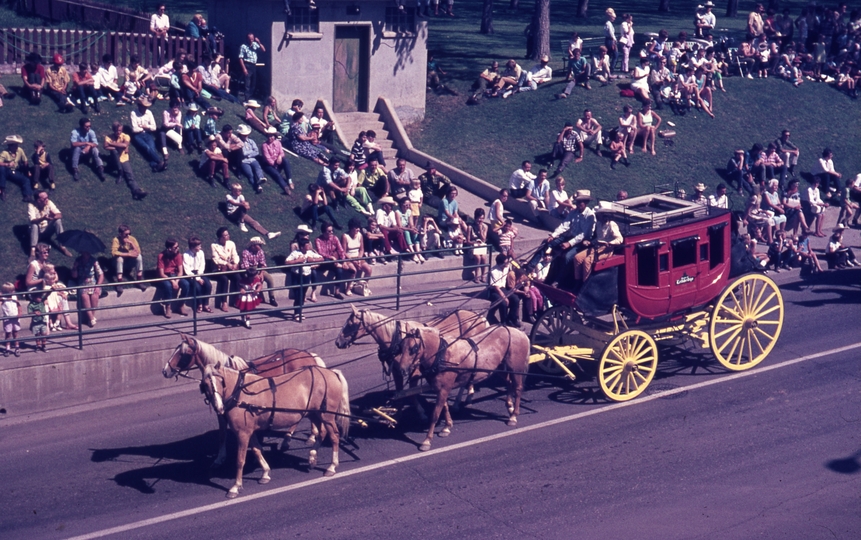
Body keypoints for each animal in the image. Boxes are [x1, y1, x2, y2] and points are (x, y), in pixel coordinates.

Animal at [162, 334, 326, 464]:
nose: (165, 370)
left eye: (184, 353)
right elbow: (222, 434)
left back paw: (297, 438)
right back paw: (306, 436)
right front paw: (220, 458)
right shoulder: (221, 411)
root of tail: (309, 355)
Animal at [202, 362, 350, 498]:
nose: (218, 407)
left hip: (327, 416)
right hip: (314, 414)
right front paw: (265, 473)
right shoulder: (250, 431)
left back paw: (332, 466)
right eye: (205, 384)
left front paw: (235, 486)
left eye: (221, 381)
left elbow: (240, 460)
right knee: (322, 432)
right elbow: (256, 450)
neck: (239, 395)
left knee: (334, 436)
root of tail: (332, 373)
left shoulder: (242, 433)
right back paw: (312, 457)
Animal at [332, 306, 488, 412]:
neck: (397, 340)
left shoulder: (414, 371)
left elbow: (411, 392)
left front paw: (421, 412)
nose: (338, 342)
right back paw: (467, 396)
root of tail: (479, 317)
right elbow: (400, 391)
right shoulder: (396, 371)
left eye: (350, 324)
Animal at [394, 324, 528, 452]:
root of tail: (519, 332)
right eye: (401, 347)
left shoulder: (443, 389)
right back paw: (509, 406)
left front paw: (427, 441)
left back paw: (514, 416)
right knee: (509, 383)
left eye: (414, 348)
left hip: (515, 368)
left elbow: (435, 414)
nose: (401, 370)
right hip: (499, 368)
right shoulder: (441, 388)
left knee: (518, 388)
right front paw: (447, 427)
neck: (442, 356)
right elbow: (444, 407)